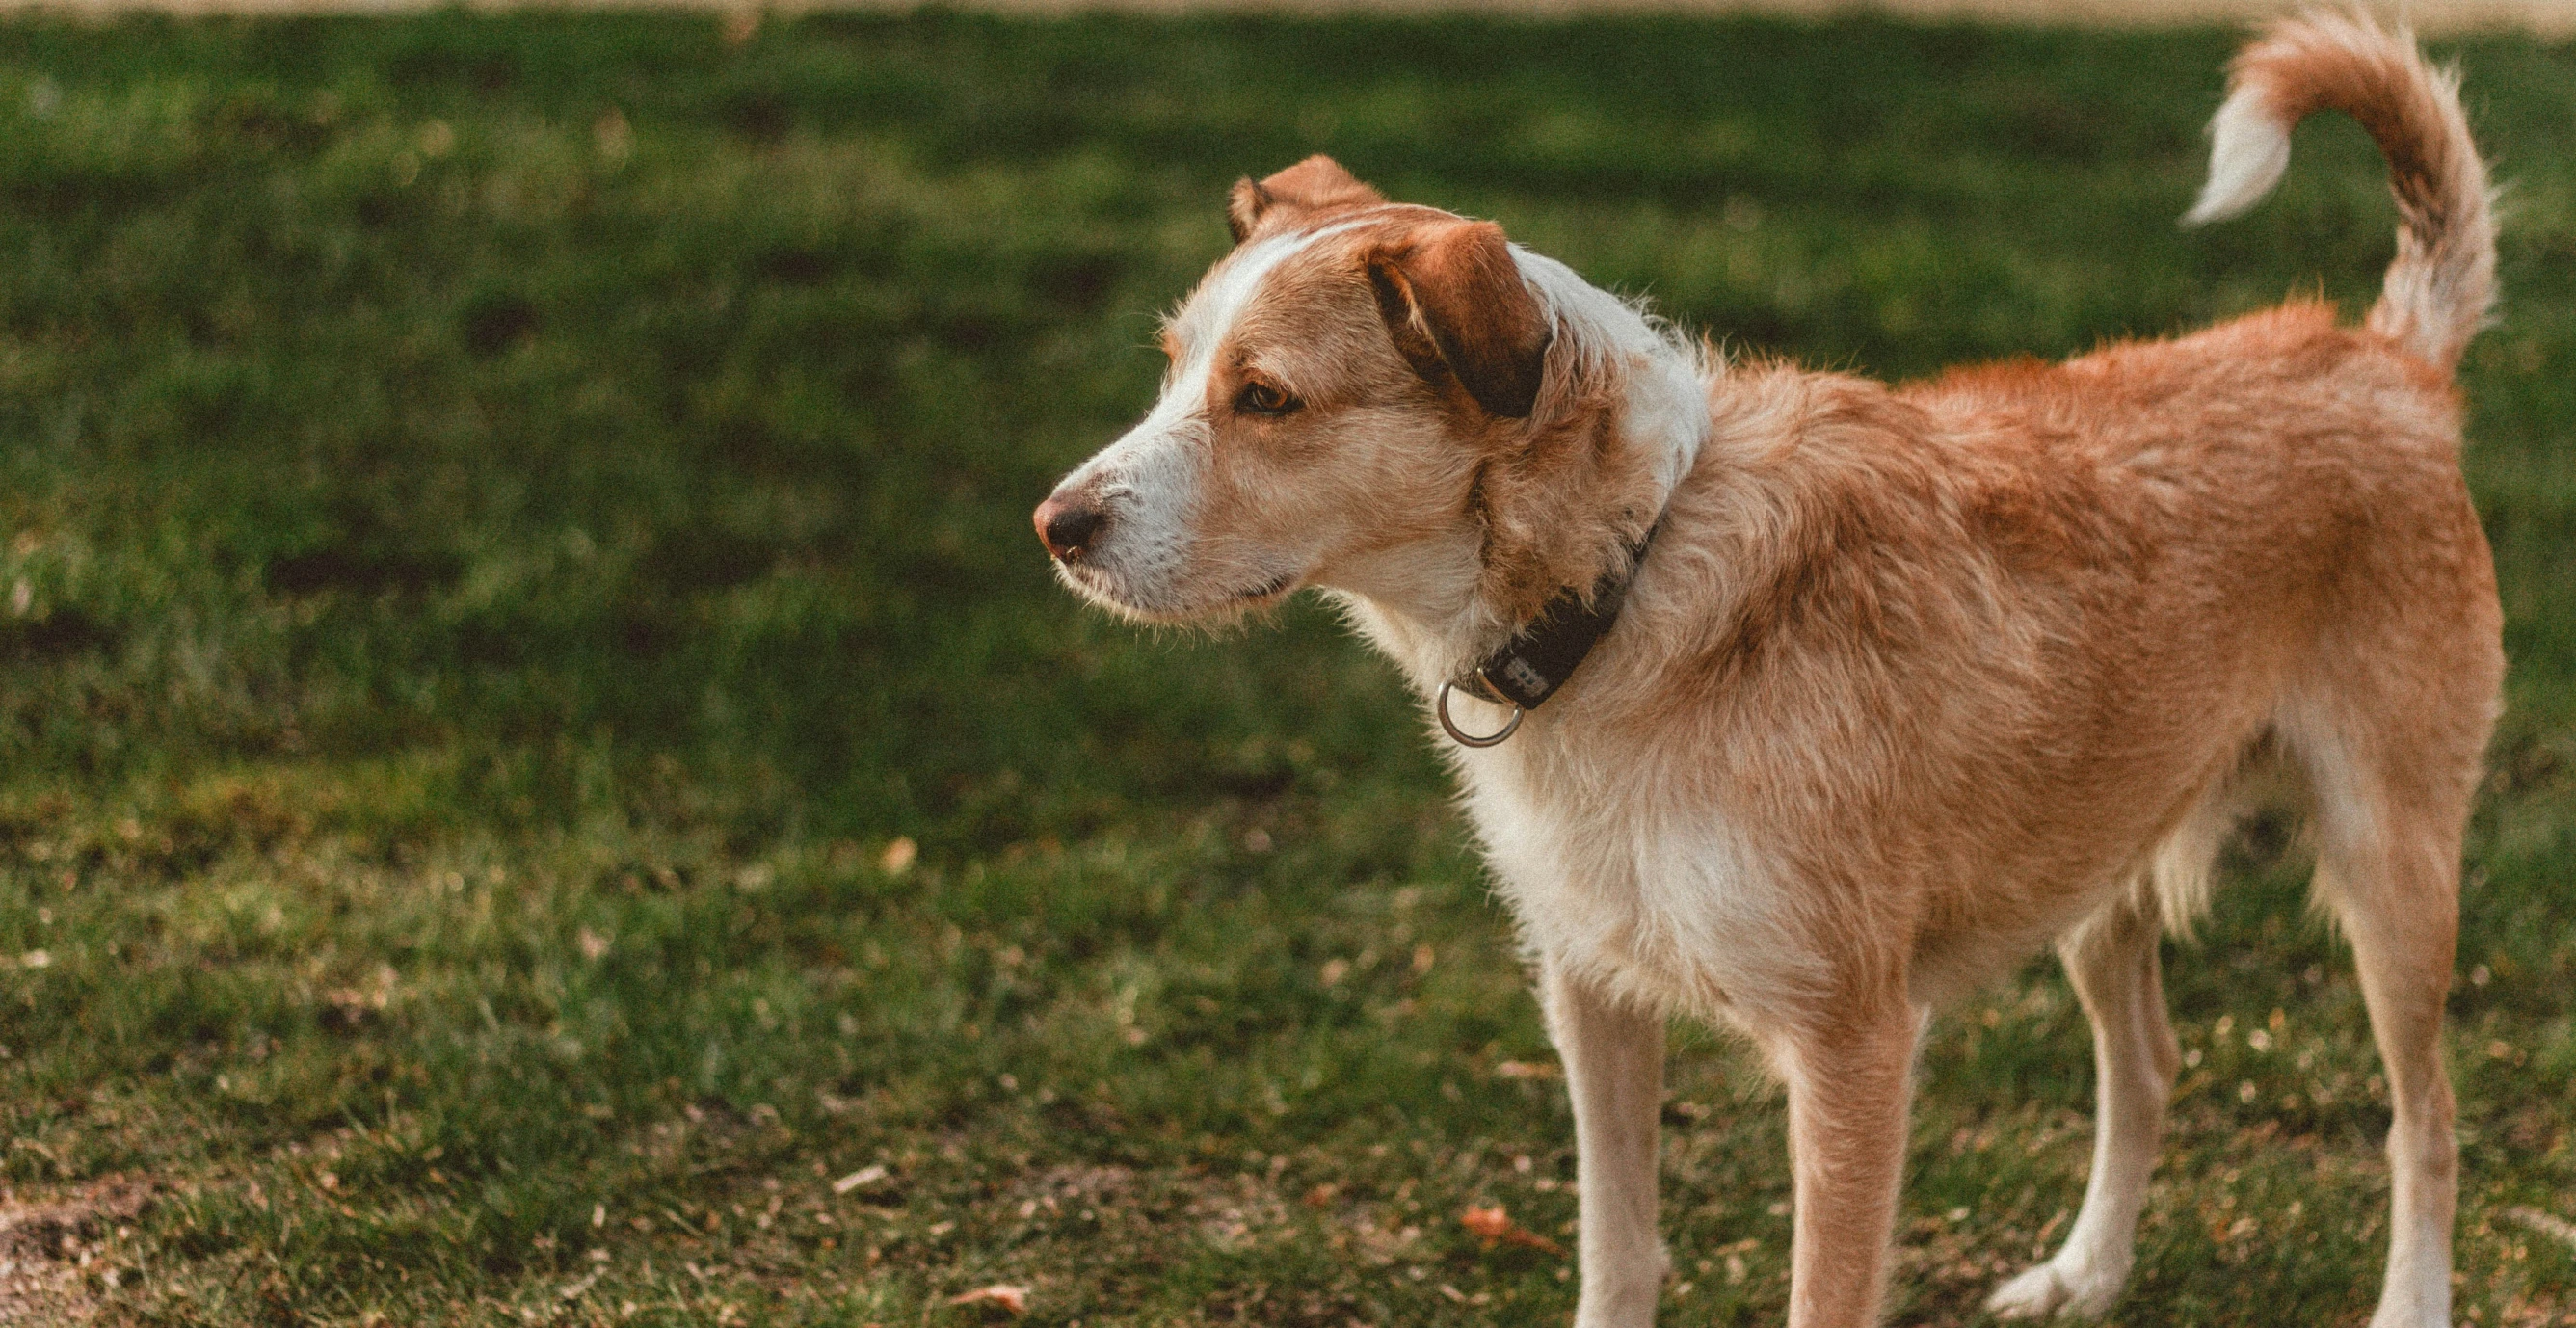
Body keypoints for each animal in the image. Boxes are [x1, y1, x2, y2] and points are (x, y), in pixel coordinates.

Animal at [1024, 15, 2493, 1317]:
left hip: (2393, 867)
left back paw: (2406, 1300)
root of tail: (2385, 354)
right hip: (2098, 864)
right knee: (2148, 1063)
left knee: (2426, 1120)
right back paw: (2085, 1275)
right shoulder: (1590, 996)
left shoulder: (1851, 1047)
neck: (1629, 576)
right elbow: (1615, 1256)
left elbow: (1821, 1291)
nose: (1055, 524)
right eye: (1172, 367)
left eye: (1267, 398)